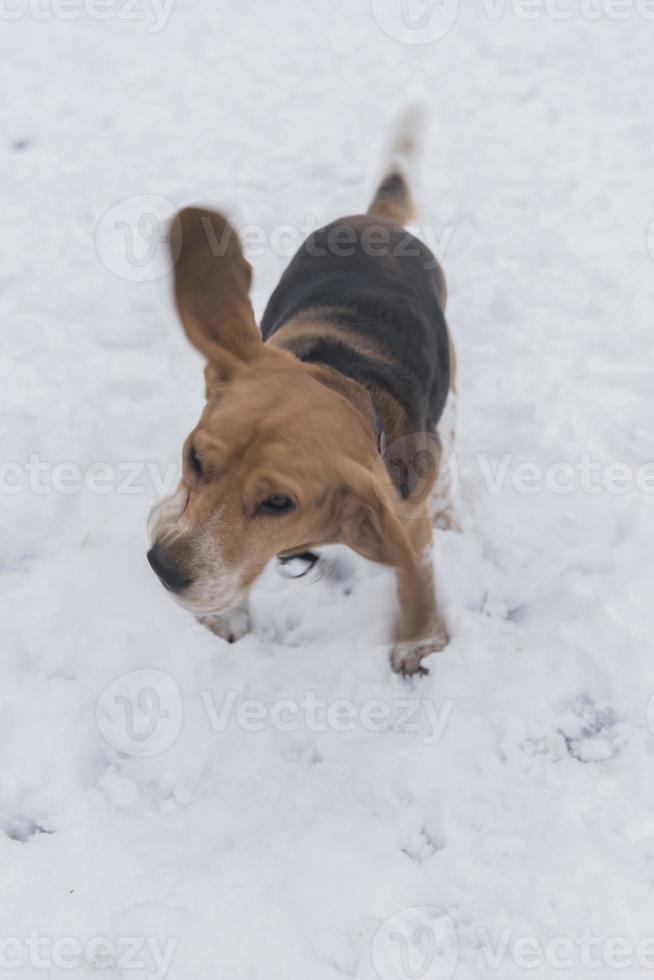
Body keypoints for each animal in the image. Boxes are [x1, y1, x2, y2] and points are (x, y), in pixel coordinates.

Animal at [148, 118, 456, 672]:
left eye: (278, 503)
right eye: (194, 457)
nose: (163, 567)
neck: (344, 380)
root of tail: (375, 220)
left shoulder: (404, 520)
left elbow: (414, 571)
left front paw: (419, 642)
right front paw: (227, 614)